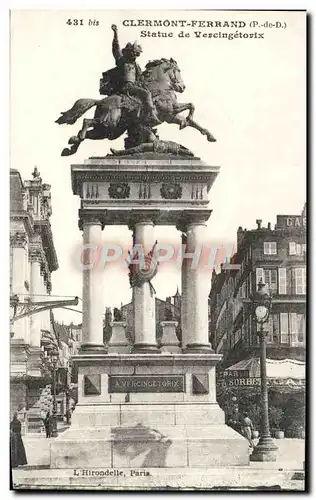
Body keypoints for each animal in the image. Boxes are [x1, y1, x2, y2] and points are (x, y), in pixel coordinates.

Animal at [55, 56, 216, 155]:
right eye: (178, 71)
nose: (182, 87)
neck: (161, 86)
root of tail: (100, 101)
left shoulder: (171, 116)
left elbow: (194, 121)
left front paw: (209, 135)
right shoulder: (170, 111)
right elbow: (191, 106)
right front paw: (187, 121)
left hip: (109, 131)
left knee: (88, 132)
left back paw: (71, 146)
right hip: (110, 122)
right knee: (86, 121)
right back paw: (77, 139)